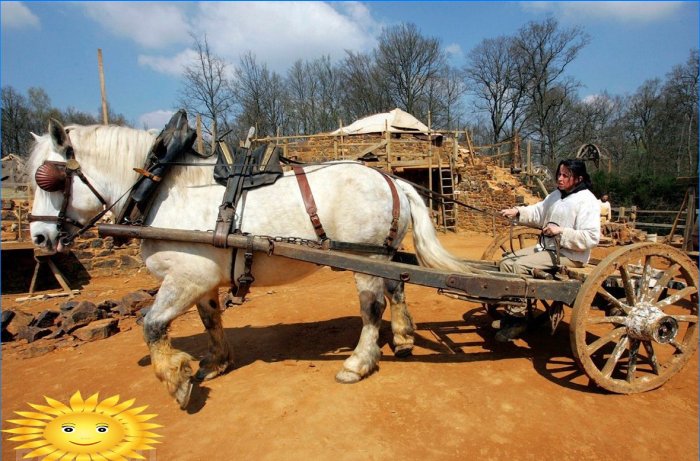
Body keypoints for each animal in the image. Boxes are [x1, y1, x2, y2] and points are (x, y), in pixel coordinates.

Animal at [27, 117, 476, 406]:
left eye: (47, 177)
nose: (39, 237)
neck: (162, 187)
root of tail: (392, 178)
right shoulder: (204, 279)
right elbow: (210, 319)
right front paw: (215, 363)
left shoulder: (186, 276)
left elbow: (151, 325)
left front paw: (177, 379)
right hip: (383, 253)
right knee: (397, 287)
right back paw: (403, 338)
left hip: (362, 258)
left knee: (372, 307)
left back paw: (358, 363)